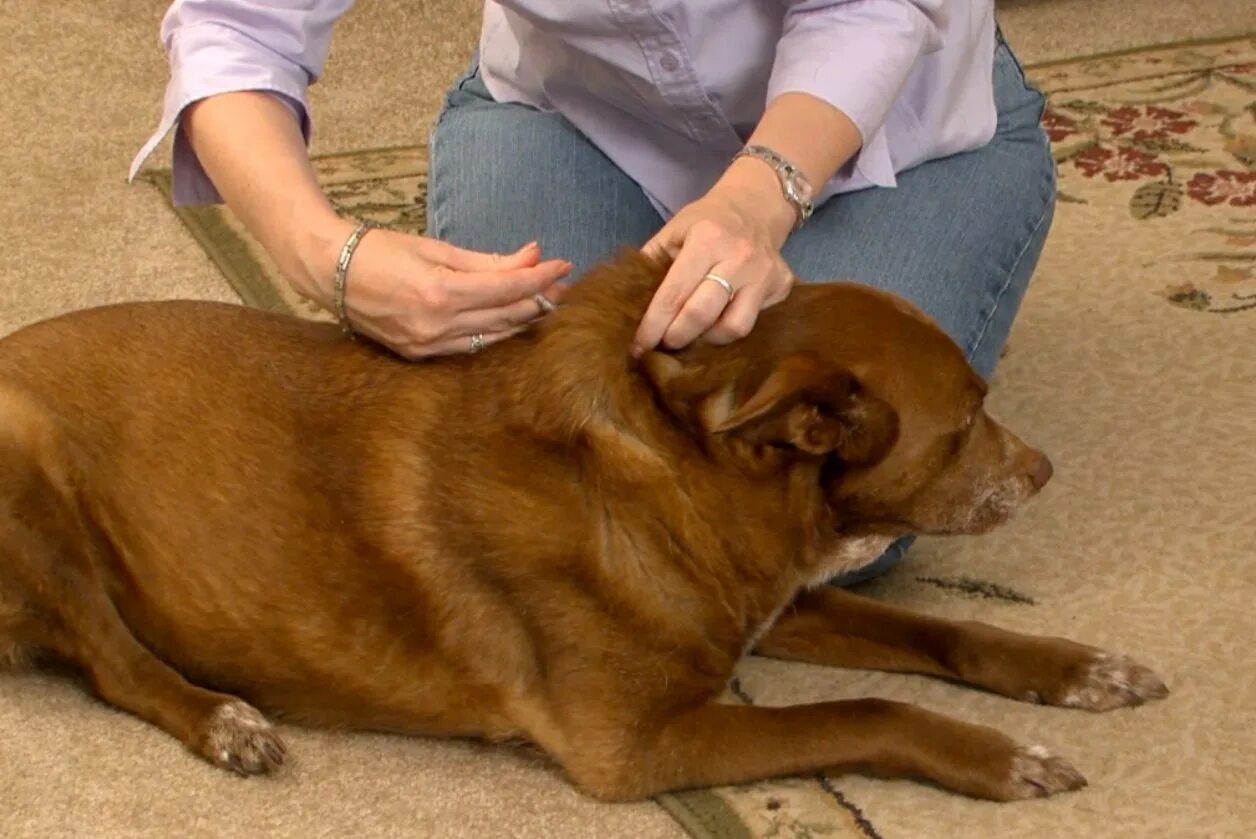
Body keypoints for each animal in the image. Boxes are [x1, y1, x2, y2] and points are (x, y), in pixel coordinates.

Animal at [0, 248, 1165, 798]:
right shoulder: (639, 744)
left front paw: (1078, 671)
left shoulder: (766, 600)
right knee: (114, 661)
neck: (671, 468)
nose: (1044, 469)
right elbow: (869, 709)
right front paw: (1001, 757)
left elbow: (936, 630)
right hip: (29, 465)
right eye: (965, 422)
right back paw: (221, 719)